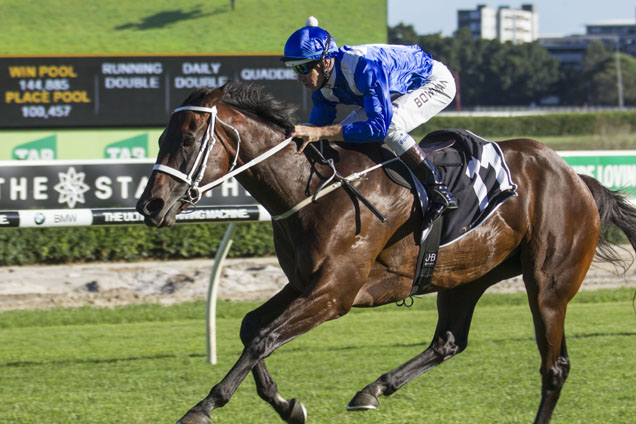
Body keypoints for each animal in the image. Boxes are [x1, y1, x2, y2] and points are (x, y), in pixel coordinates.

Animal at [135, 80, 636, 424]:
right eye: (160, 139)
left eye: (186, 140)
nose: (150, 206)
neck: (311, 189)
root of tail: (575, 176)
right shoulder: (307, 283)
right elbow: (250, 327)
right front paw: (285, 404)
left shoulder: (336, 292)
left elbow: (263, 337)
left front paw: (205, 405)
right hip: (465, 275)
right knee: (448, 341)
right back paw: (372, 390)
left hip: (548, 284)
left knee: (555, 367)